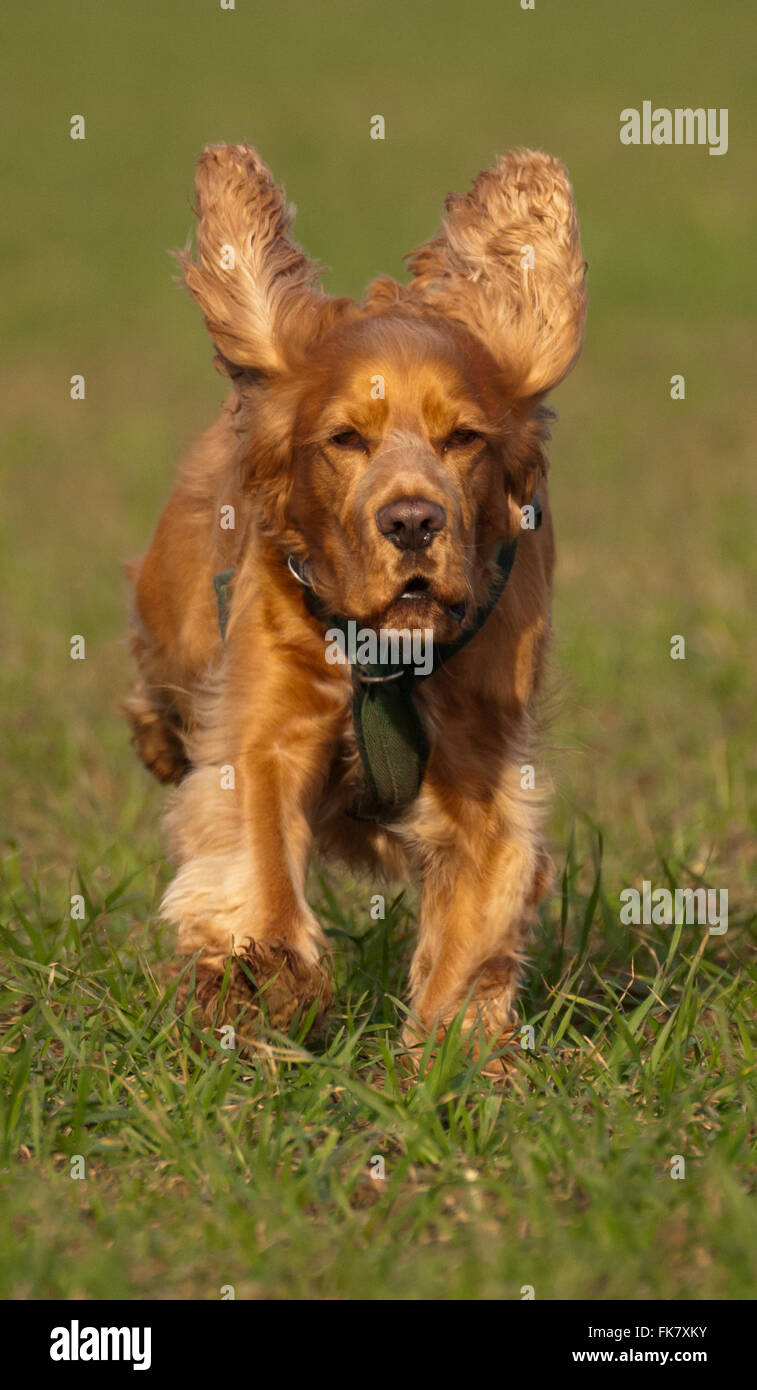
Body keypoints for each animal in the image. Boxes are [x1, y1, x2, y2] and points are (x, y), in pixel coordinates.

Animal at [122, 143, 583, 1061]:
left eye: (463, 438)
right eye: (344, 439)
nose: (411, 521)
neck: (389, 652)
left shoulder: (484, 763)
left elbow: (479, 909)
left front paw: (452, 1056)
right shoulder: (268, 716)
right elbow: (257, 843)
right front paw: (261, 977)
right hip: (177, 615)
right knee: (163, 693)